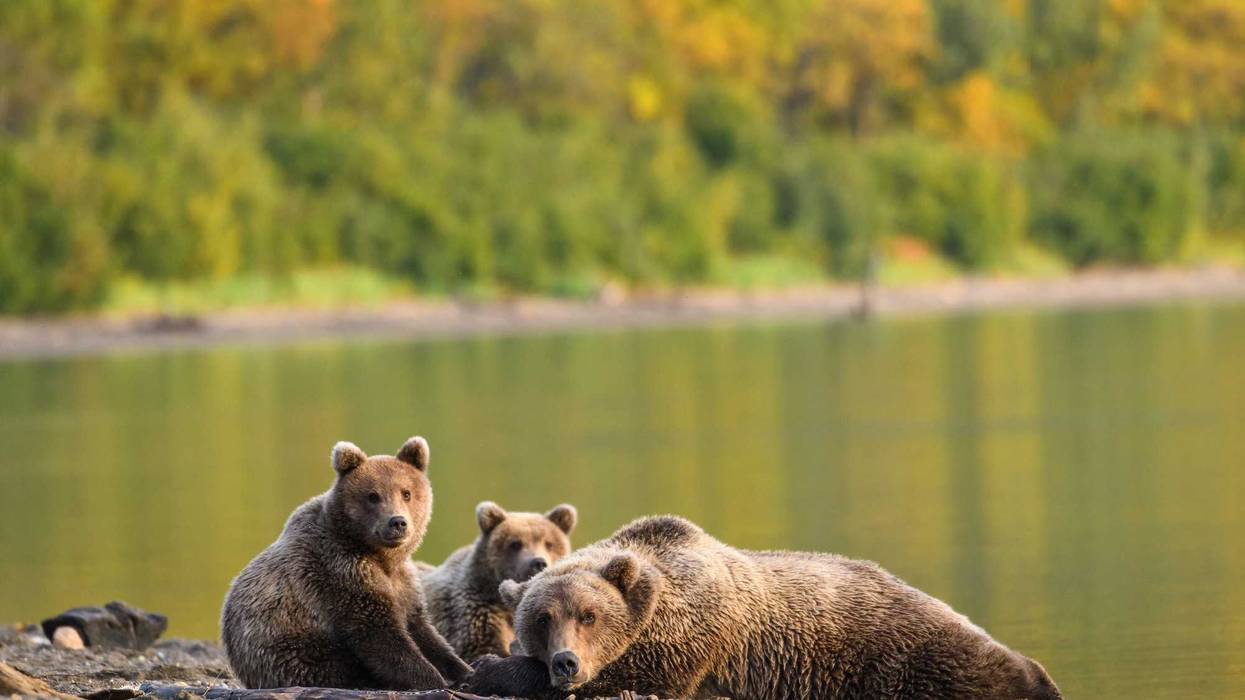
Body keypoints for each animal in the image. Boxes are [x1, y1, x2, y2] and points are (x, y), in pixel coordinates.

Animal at [220, 437, 472, 690]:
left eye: (406, 493)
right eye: (373, 496)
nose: (398, 522)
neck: (381, 557)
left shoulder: (405, 585)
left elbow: (424, 631)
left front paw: (463, 670)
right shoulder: (342, 572)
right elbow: (379, 636)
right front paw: (435, 679)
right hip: (288, 646)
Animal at [493, 515, 1061, 700]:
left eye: (588, 615)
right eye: (542, 619)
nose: (567, 662)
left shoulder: (693, 633)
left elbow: (641, 678)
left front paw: (493, 669)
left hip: (911, 659)